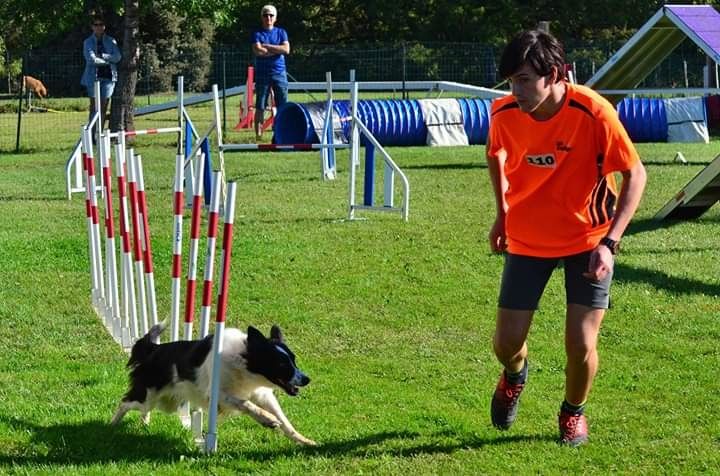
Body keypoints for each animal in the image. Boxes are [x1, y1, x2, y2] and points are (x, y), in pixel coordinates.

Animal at [111, 324, 316, 446]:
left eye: (293, 360)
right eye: (281, 364)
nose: (306, 379)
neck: (243, 362)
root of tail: (154, 349)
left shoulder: (262, 394)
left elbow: (285, 421)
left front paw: (304, 441)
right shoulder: (217, 394)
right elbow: (246, 404)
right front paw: (266, 419)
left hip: (167, 402)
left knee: (142, 409)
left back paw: (144, 423)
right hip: (148, 396)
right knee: (125, 403)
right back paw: (112, 425)